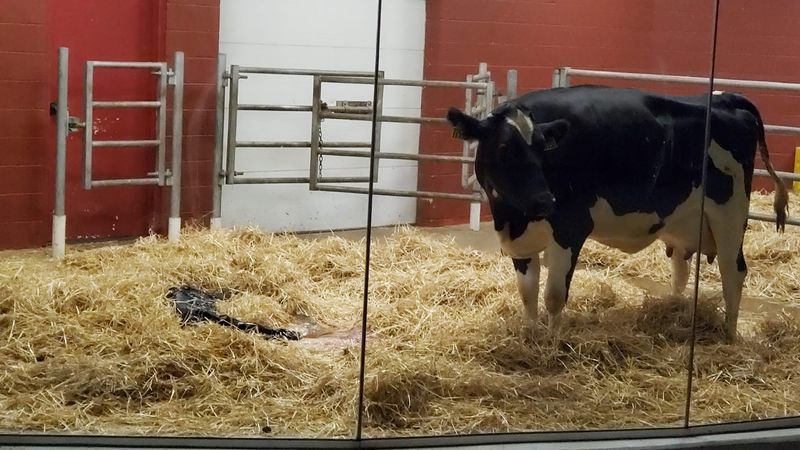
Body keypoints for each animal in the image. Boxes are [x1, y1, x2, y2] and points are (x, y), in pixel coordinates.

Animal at [447, 85, 789, 341]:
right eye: (504, 148)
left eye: (543, 149)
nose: (545, 200)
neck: (513, 218)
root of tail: (726, 98)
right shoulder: (522, 238)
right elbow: (527, 292)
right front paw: (529, 335)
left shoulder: (571, 227)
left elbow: (554, 296)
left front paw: (552, 345)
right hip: (687, 221)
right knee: (682, 269)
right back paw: (676, 313)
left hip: (729, 213)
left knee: (733, 273)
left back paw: (728, 336)